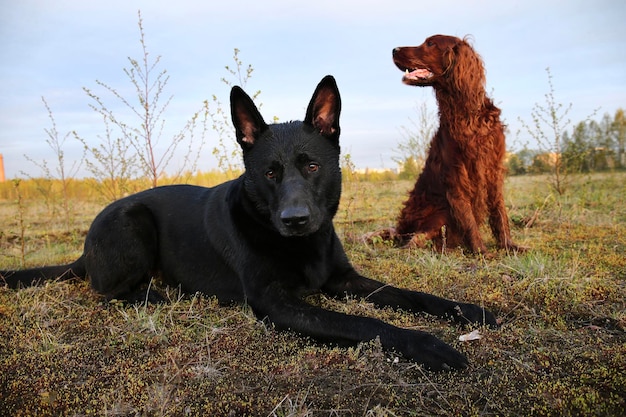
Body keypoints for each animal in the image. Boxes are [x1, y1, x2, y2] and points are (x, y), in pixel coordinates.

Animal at [2, 76, 494, 368]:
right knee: (105, 292)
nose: (295, 220)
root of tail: (84, 249)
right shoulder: (274, 302)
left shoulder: (344, 279)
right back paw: (157, 294)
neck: (298, 245)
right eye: (270, 173)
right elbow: (365, 324)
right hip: (133, 221)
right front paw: (429, 345)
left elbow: (411, 295)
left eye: (312, 166)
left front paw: (470, 311)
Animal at [388, 35, 520, 254]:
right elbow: (468, 218)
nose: (394, 49)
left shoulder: (493, 169)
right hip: (438, 212)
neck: (466, 114)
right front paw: (482, 252)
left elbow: (499, 211)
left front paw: (509, 246)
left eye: (430, 43)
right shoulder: (457, 174)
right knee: (415, 240)